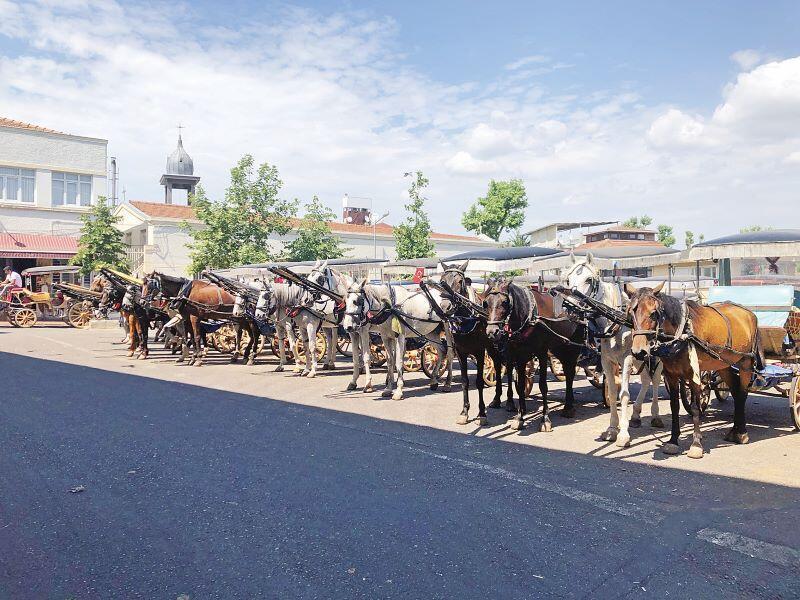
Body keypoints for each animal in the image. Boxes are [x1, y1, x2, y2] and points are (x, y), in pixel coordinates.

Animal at [484, 278, 584, 434]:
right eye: (486, 303)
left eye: (505, 302)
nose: (491, 332)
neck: (529, 317)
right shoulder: (519, 355)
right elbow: (520, 385)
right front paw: (519, 418)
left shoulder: (542, 353)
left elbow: (543, 385)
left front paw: (545, 419)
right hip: (560, 346)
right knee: (568, 371)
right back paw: (570, 402)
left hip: (573, 346)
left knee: (570, 373)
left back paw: (568, 406)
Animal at [560, 252, 664, 446]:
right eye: (568, 280)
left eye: (589, 279)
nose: (569, 308)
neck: (614, 322)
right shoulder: (607, 361)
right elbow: (613, 390)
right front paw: (611, 429)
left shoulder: (627, 359)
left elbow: (624, 394)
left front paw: (623, 434)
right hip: (641, 357)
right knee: (646, 380)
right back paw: (636, 415)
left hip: (656, 356)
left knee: (654, 380)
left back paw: (655, 415)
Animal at [624, 282, 764, 460]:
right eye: (631, 312)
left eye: (654, 313)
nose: (639, 351)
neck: (682, 331)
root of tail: (749, 313)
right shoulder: (671, 375)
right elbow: (674, 406)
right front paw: (673, 440)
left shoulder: (694, 375)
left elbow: (696, 407)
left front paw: (696, 444)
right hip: (723, 364)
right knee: (735, 391)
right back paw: (734, 431)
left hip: (745, 363)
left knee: (743, 393)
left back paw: (742, 433)